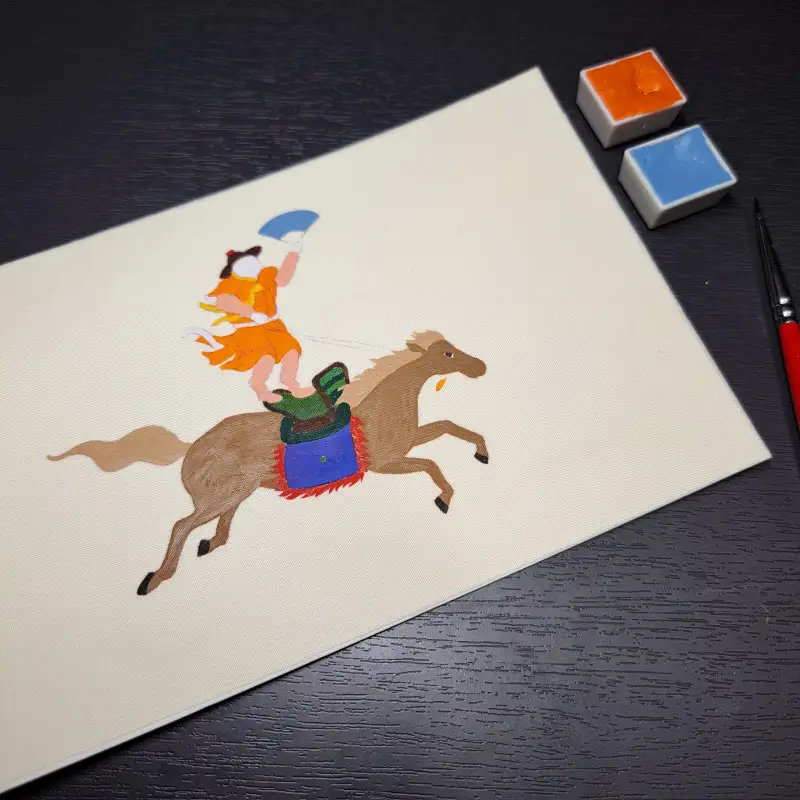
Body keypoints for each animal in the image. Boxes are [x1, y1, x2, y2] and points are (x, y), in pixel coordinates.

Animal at [48, 331, 488, 595]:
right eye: (447, 353)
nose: (481, 367)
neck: (382, 412)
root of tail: (193, 447)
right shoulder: (388, 462)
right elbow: (431, 464)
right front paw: (445, 498)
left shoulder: (407, 444)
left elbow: (448, 427)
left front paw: (482, 452)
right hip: (220, 496)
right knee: (181, 526)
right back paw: (156, 579)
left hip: (237, 492)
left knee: (217, 524)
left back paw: (210, 545)